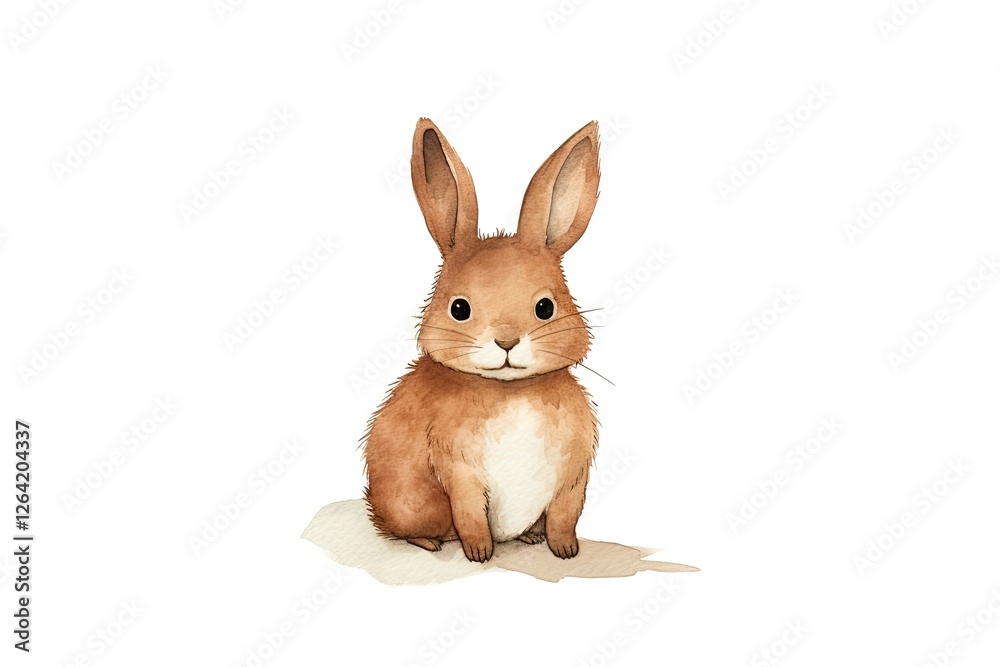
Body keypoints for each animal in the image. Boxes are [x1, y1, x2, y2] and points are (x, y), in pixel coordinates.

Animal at [362, 118, 601, 562]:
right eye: (459, 308)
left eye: (545, 307)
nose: (506, 342)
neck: (510, 391)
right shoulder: (459, 474)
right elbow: (471, 515)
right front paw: (479, 553)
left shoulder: (572, 476)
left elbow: (565, 516)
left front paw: (565, 551)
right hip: (418, 506)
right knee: (408, 530)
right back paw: (430, 542)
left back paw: (529, 537)